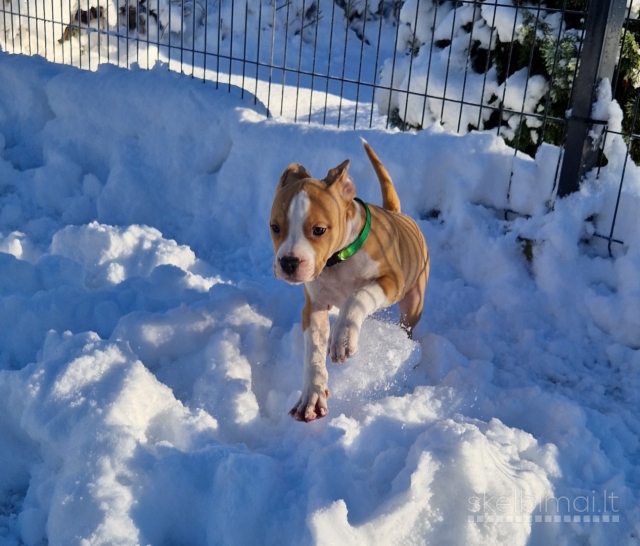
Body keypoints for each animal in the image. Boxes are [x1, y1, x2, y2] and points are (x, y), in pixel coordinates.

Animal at [268, 139, 428, 420]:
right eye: (275, 227)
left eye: (319, 230)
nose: (288, 262)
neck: (337, 262)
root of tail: (396, 213)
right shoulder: (314, 307)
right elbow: (314, 351)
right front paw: (312, 395)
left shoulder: (391, 281)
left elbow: (359, 295)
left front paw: (342, 338)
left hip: (413, 300)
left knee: (406, 324)